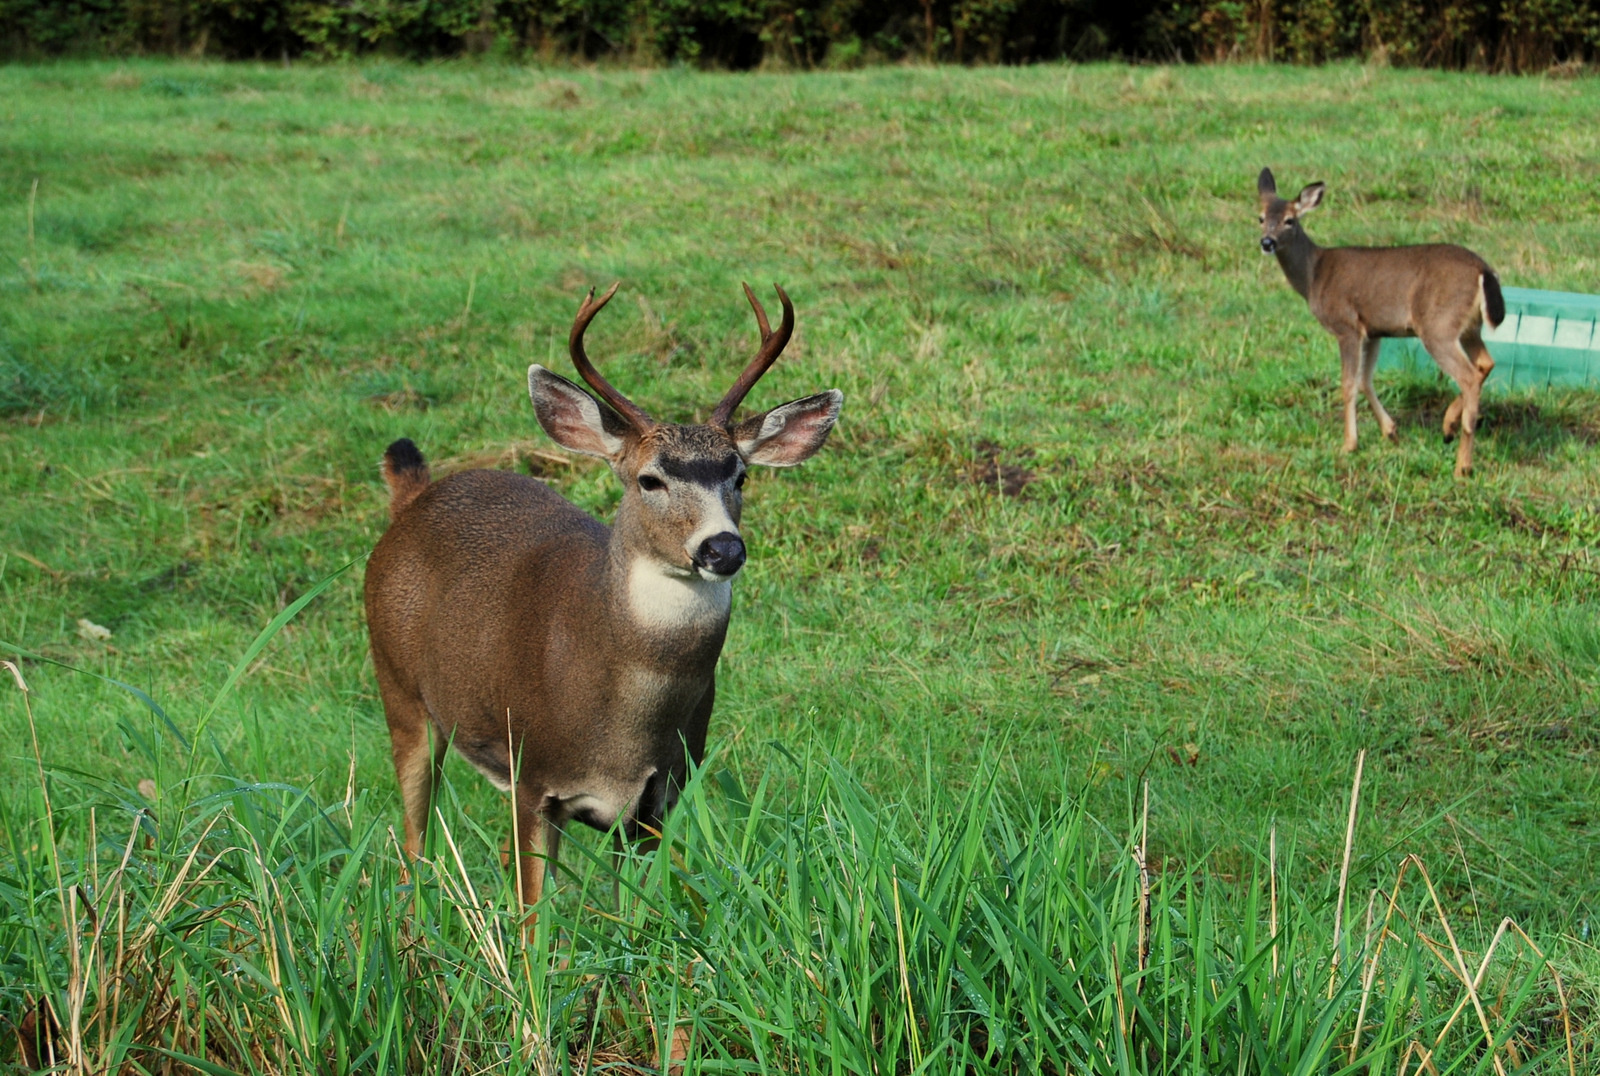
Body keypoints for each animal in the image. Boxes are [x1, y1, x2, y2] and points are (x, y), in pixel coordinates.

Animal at [361, 281, 838, 909]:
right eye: (649, 479)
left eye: (740, 475)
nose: (722, 548)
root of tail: (411, 500)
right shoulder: (535, 775)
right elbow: (533, 911)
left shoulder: (658, 798)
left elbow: (633, 911)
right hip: (399, 689)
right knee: (414, 843)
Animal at [1254, 170, 1504, 477]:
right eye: (1260, 217)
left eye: (1290, 220)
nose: (1267, 243)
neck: (1314, 276)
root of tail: (1484, 271)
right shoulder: (1374, 330)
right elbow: (1365, 379)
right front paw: (1390, 431)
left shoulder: (1347, 325)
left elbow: (1348, 383)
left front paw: (1348, 444)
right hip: (1469, 327)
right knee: (1485, 364)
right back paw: (1448, 428)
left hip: (1438, 326)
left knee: (1468, 376)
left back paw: (1462, 465)